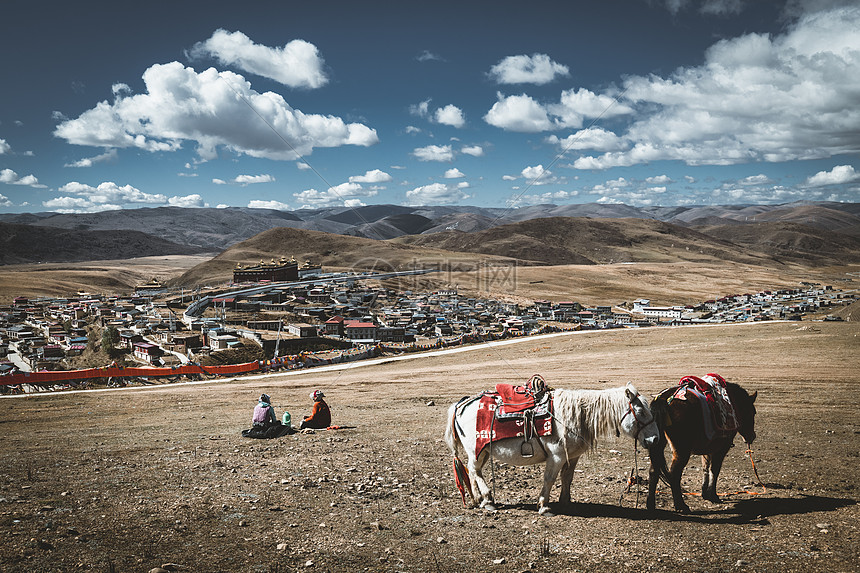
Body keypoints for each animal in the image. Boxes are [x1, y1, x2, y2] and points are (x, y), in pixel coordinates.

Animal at [446, 384, 656, 512]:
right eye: (640, 412)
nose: (654, 439)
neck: (575, 416)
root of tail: (461, 404)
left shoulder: (572, 456)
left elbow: (567, 478)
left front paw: (566, 502)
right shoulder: (556, 456)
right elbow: (549, 478)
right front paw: (544, 505)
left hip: (483, 451)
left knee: (474, 472)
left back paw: (478, 499)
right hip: (476, 450)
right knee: (474, 471)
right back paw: (488, 500)